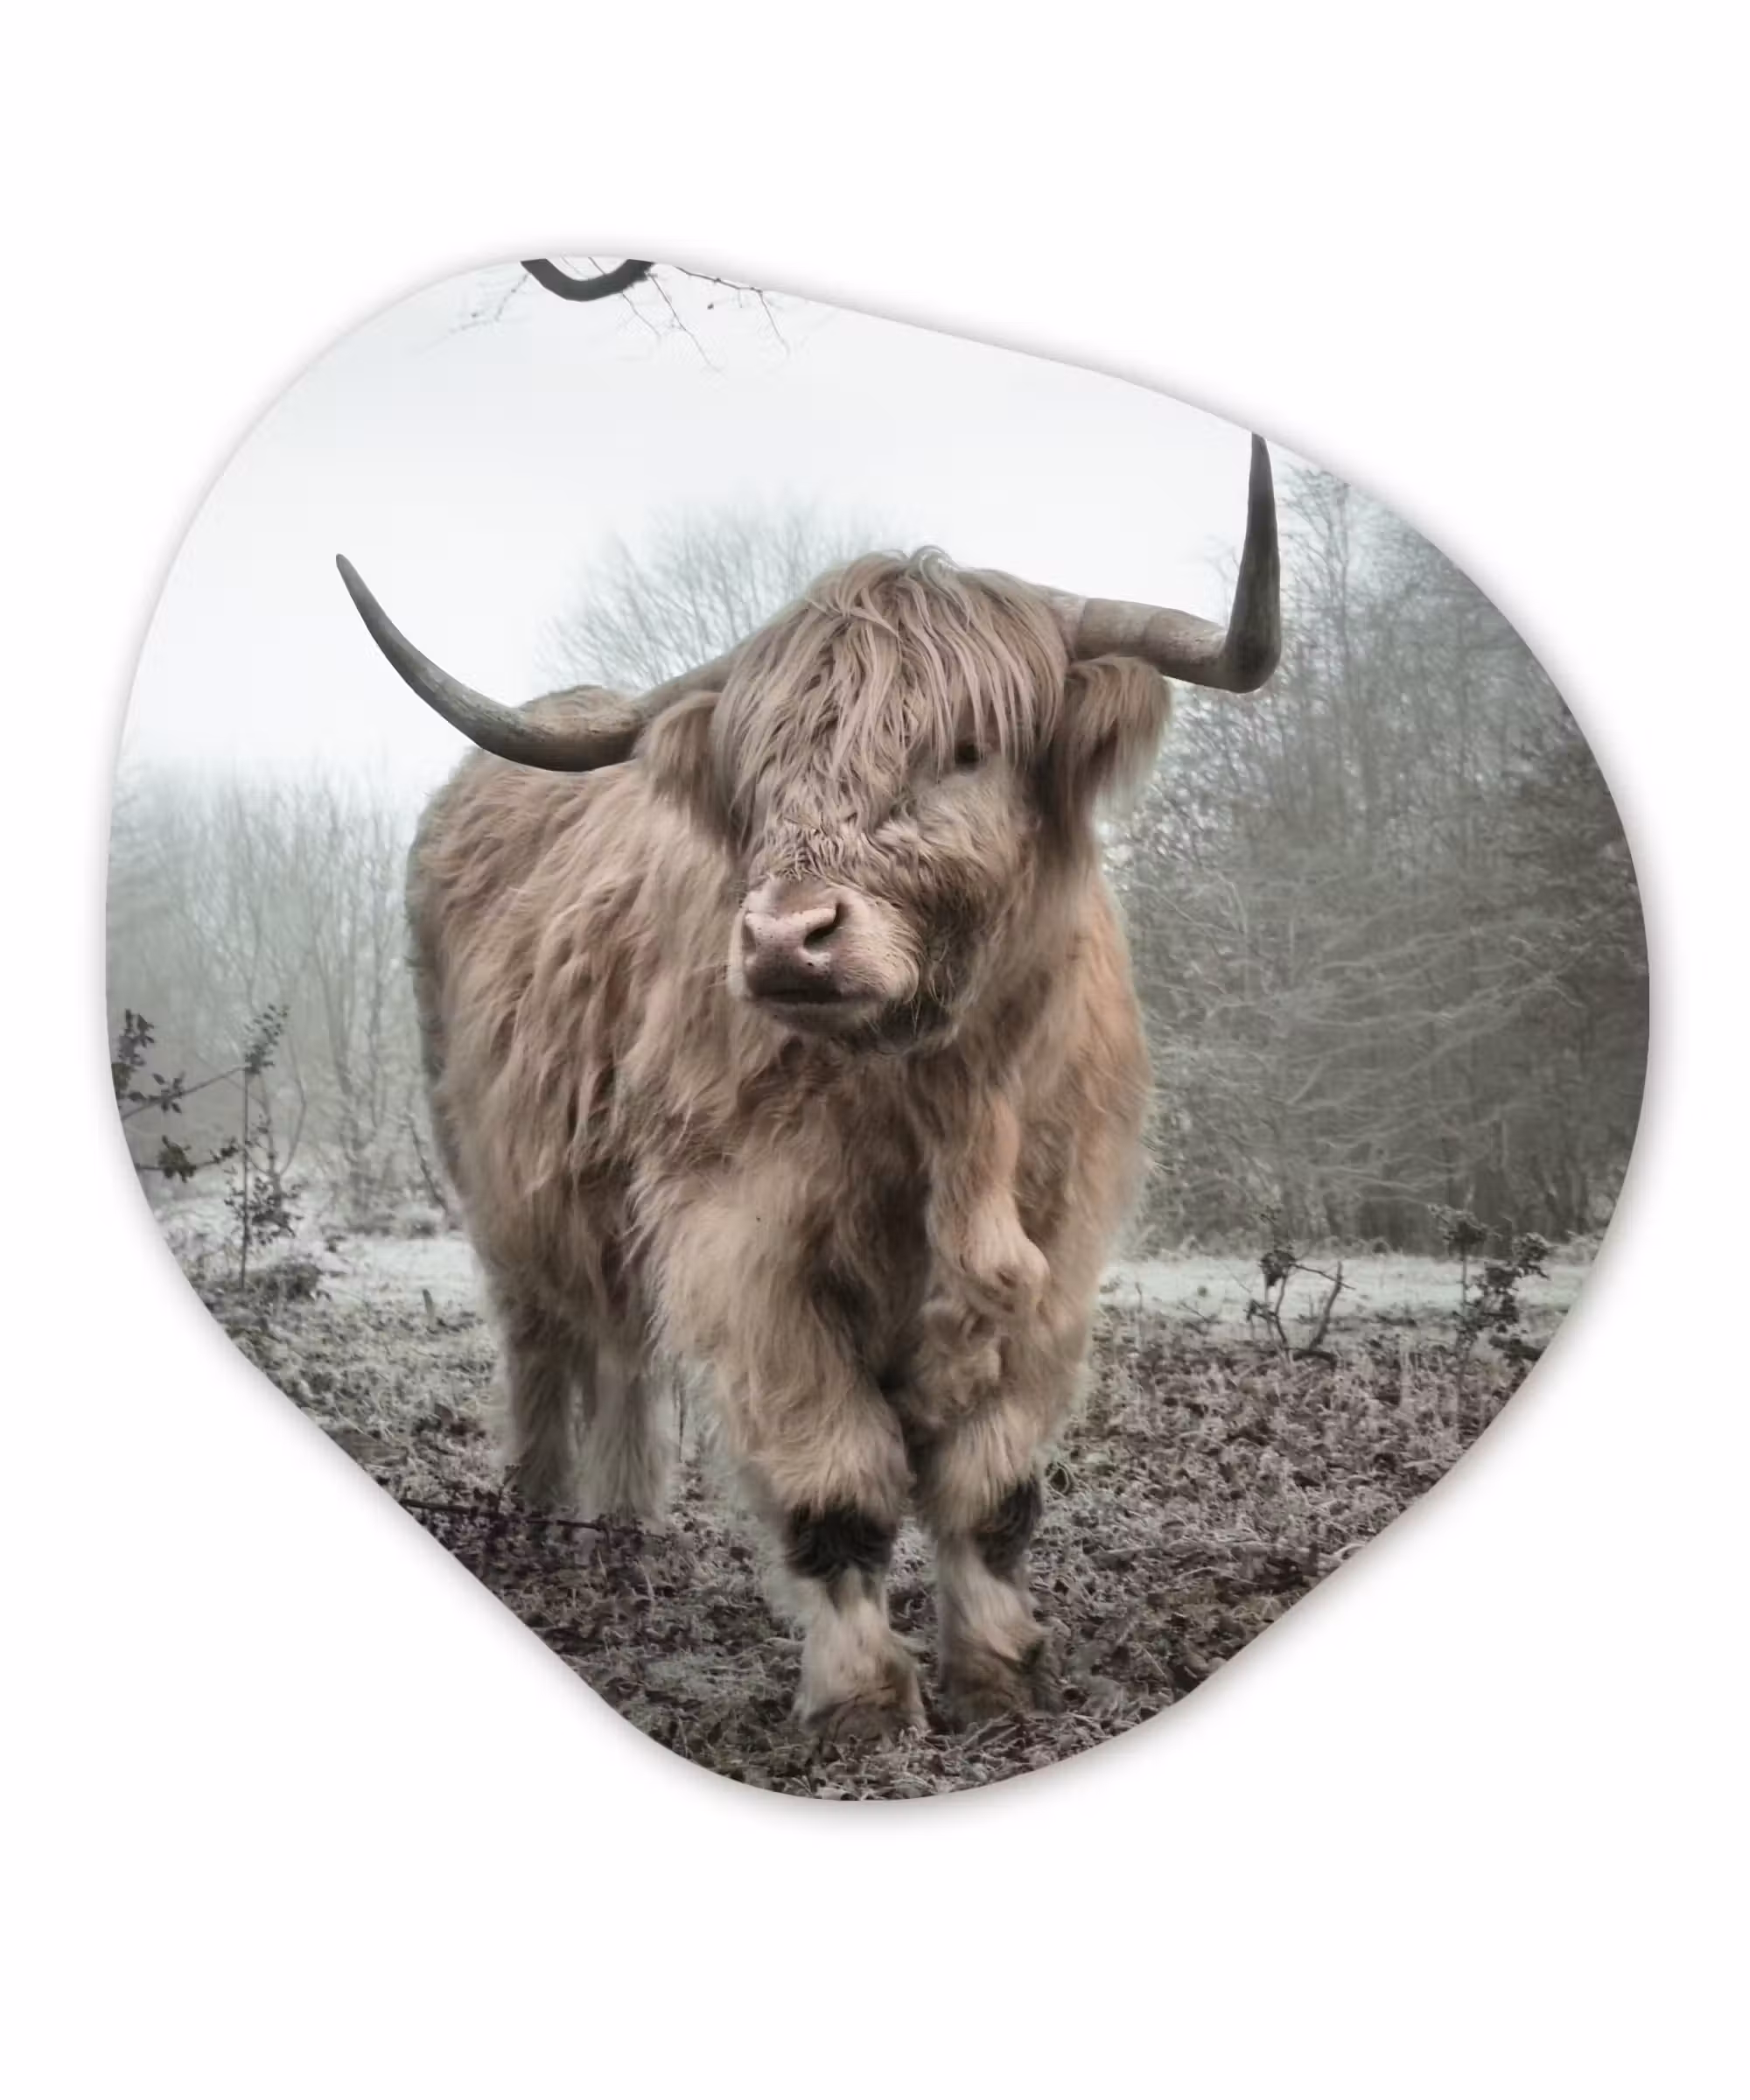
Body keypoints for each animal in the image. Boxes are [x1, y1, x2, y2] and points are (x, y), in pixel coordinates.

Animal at [336, 440, 1279, 1741]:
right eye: (761, 774)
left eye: (966, 750)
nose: (787, 939)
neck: (945, 1101)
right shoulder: (745, 1246)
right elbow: (837, 1486)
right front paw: (864, 1702)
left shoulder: (1060, 1248)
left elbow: (992, 1490)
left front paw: (1000, 1673)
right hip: (496, 1178)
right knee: (544, 1342)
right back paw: (537, 1525)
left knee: (622, 1350)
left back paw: (622, 1534)